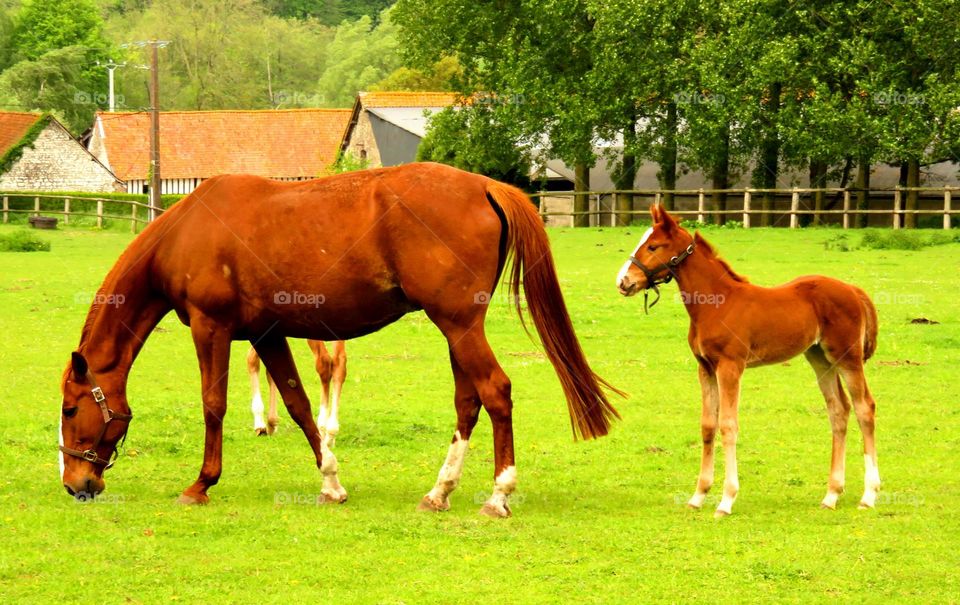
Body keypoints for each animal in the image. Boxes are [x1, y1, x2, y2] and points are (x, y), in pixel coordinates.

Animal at [58, 160, 624, 516]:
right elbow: (298, 404)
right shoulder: (267, 334)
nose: (76, 485)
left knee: (496, 393)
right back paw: (439, 491)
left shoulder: (211, 328)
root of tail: (485, 186)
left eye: (70, 409)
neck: (189, 230)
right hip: (457, 329)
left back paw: (498, 495)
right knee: (469, 402)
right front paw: (330, 483)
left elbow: (213, 405)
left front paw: (201, 484)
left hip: (459, 325)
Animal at [616, 206, 876, 516]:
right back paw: (831, 495)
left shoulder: (730, 366)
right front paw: (698, 496)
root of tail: (852, 289)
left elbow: (728, 425)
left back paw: (869, 495)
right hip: (820, 359)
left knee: (864, 407)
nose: (624, 282)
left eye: (653, 246)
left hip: (848, 357)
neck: (717, 303)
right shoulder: (705, 368)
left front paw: (726, 500)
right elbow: (708, 425)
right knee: (839, 409)